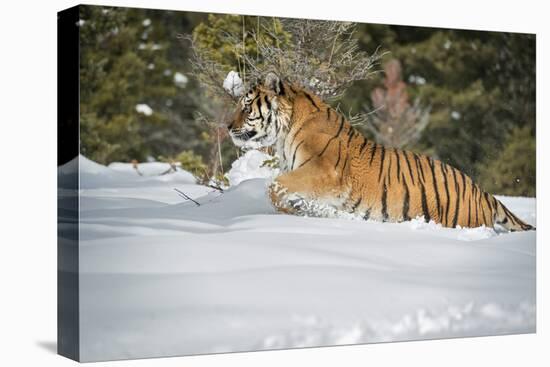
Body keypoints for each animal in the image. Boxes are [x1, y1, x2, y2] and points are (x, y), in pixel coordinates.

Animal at [226, 73, 536, 231]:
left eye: (246, 106)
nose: (228, 127)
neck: (285, 132)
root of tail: (483, 192)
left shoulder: (324, 173)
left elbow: (274, 187)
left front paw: (303, 211)